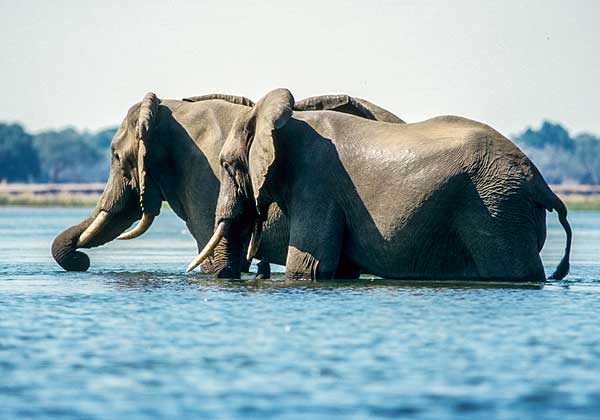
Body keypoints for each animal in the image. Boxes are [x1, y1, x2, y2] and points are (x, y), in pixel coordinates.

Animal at [188, 88, 572, 282]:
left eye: (226, 164)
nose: (228, 276)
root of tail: (540, 182)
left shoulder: (316, 186)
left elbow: (309, 267)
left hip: (497, 209)